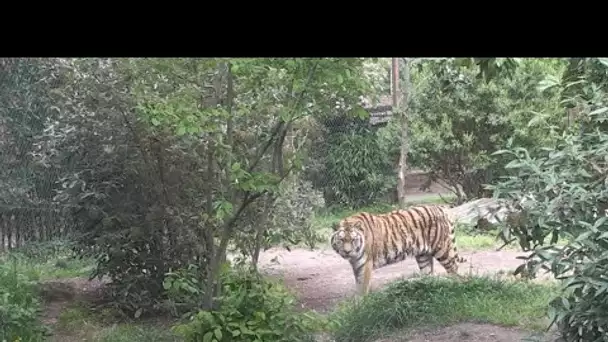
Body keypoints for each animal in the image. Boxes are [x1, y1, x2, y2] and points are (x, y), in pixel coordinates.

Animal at [332, 204, 466, 296]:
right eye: (341, 240)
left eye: (353, 240)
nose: (347, 252)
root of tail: (440, 207)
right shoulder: (357, 266)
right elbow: (358, 285)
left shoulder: (365, 265)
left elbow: (362, 288)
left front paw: (361, 306)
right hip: (423, 256)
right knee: (429, 273)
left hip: (443, 250)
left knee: (455, 270)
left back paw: (457, 289)